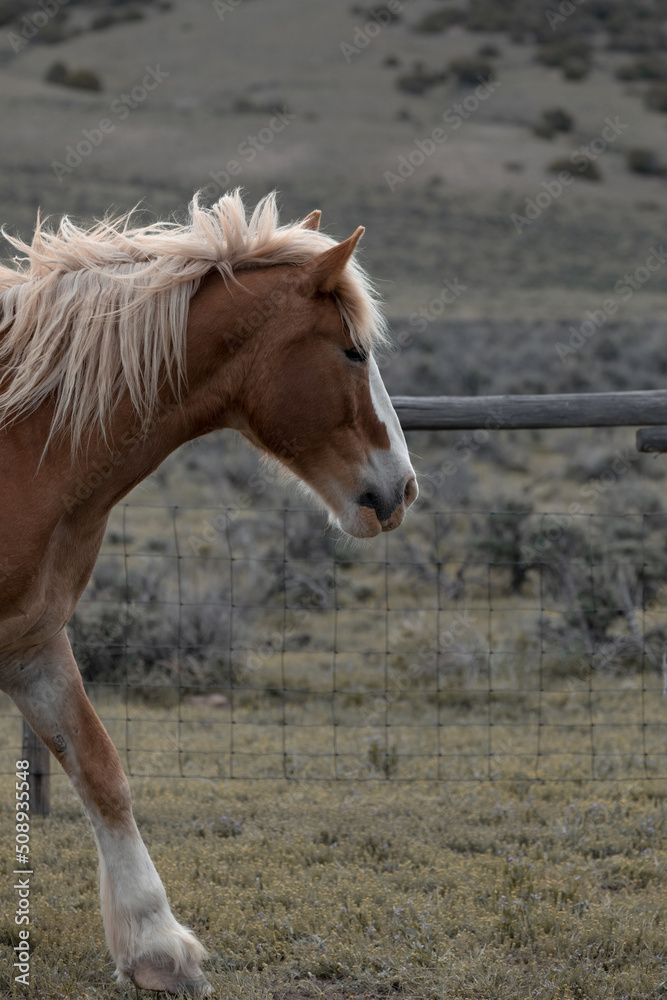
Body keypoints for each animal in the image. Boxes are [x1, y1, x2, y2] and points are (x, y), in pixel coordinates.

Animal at [0, 190, 417, 994]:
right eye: (353, 351)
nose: (402, 489)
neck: (20, 445)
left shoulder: (31, 641)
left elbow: (100, 769)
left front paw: (156, 947)